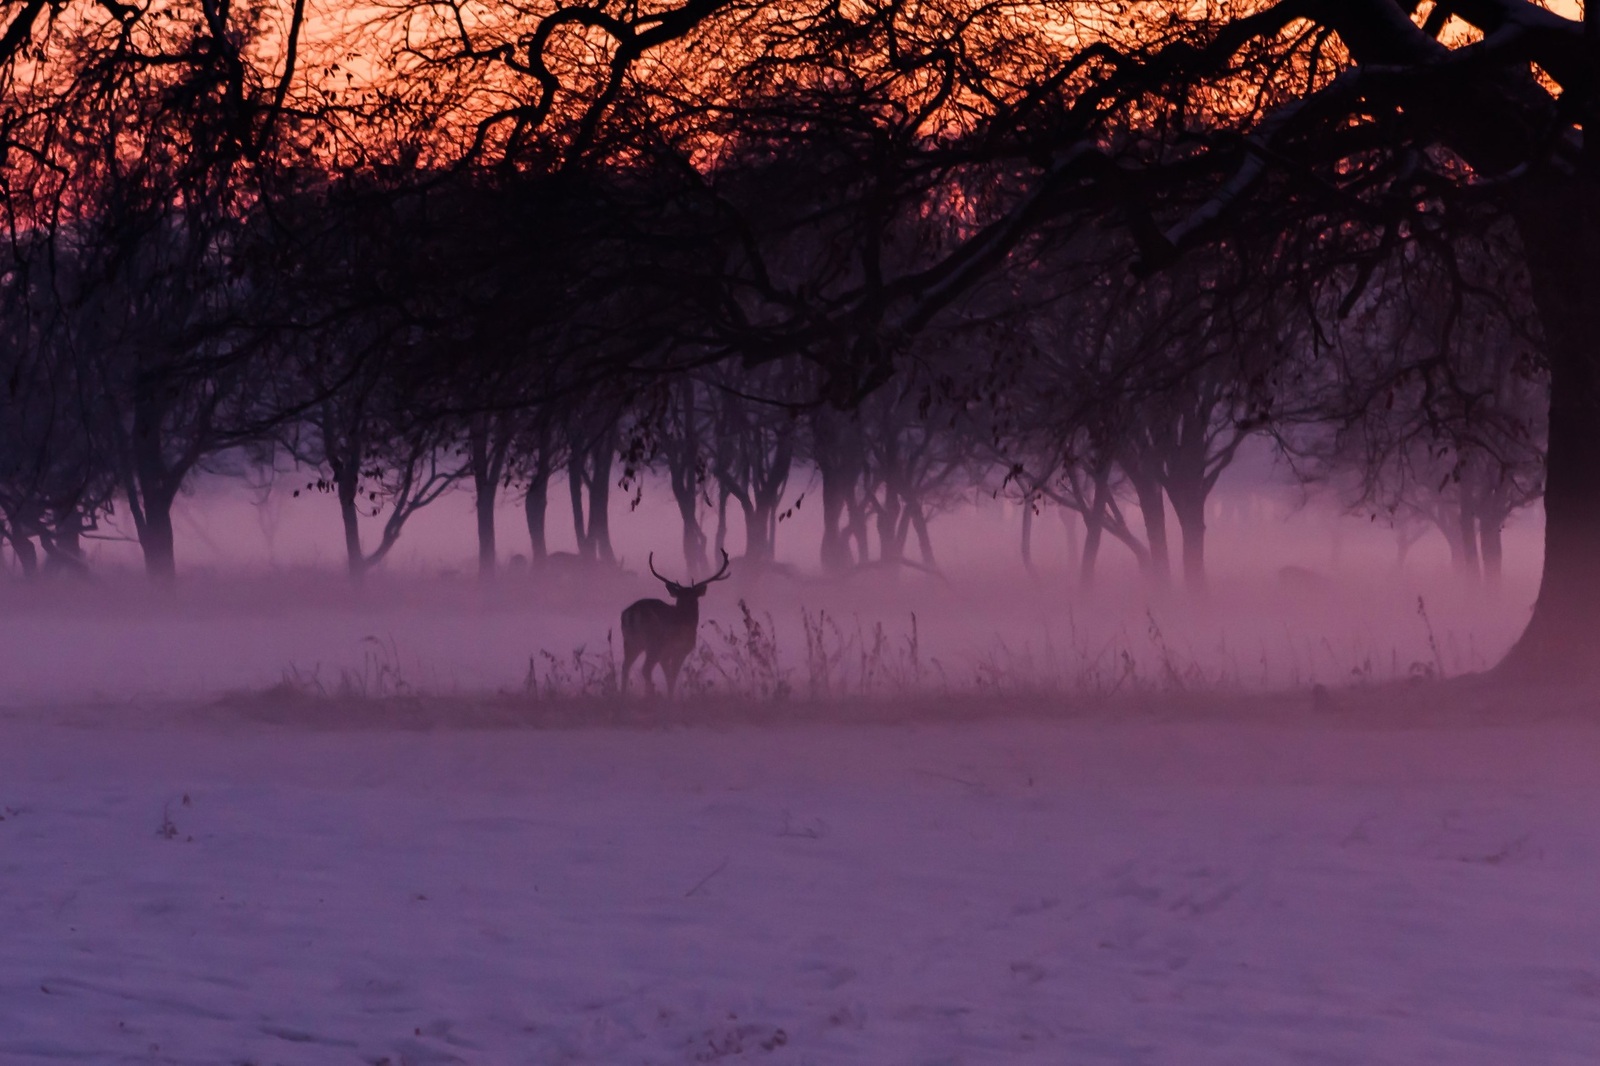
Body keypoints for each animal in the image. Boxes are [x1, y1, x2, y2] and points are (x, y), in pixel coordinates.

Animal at [620, 547, 732, 697]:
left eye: (692, 596)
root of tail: (633, 613)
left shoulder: (666, 655)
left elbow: (668, 676)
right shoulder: (680, 649)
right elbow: (673, 676)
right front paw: (670, 697)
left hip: (630, 642)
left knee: (625, 667)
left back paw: (623, 694)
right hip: (654, 643)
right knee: (645, 669)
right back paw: (651, 694)